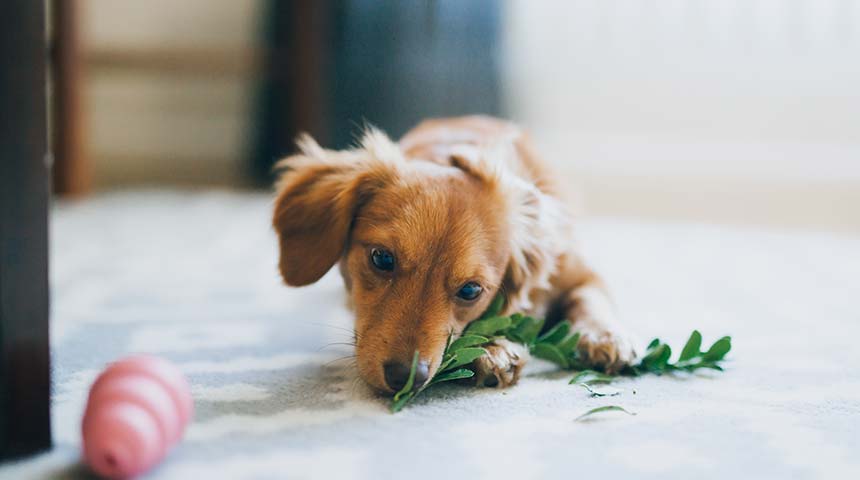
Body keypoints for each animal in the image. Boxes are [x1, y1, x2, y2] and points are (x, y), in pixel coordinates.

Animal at [272, 116, 636, 394]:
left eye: (471, 290)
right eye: (382, 259)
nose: (406, 378)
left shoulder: (577, 270)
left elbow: (590, 297)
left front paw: (604, 336)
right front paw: (493, 347)